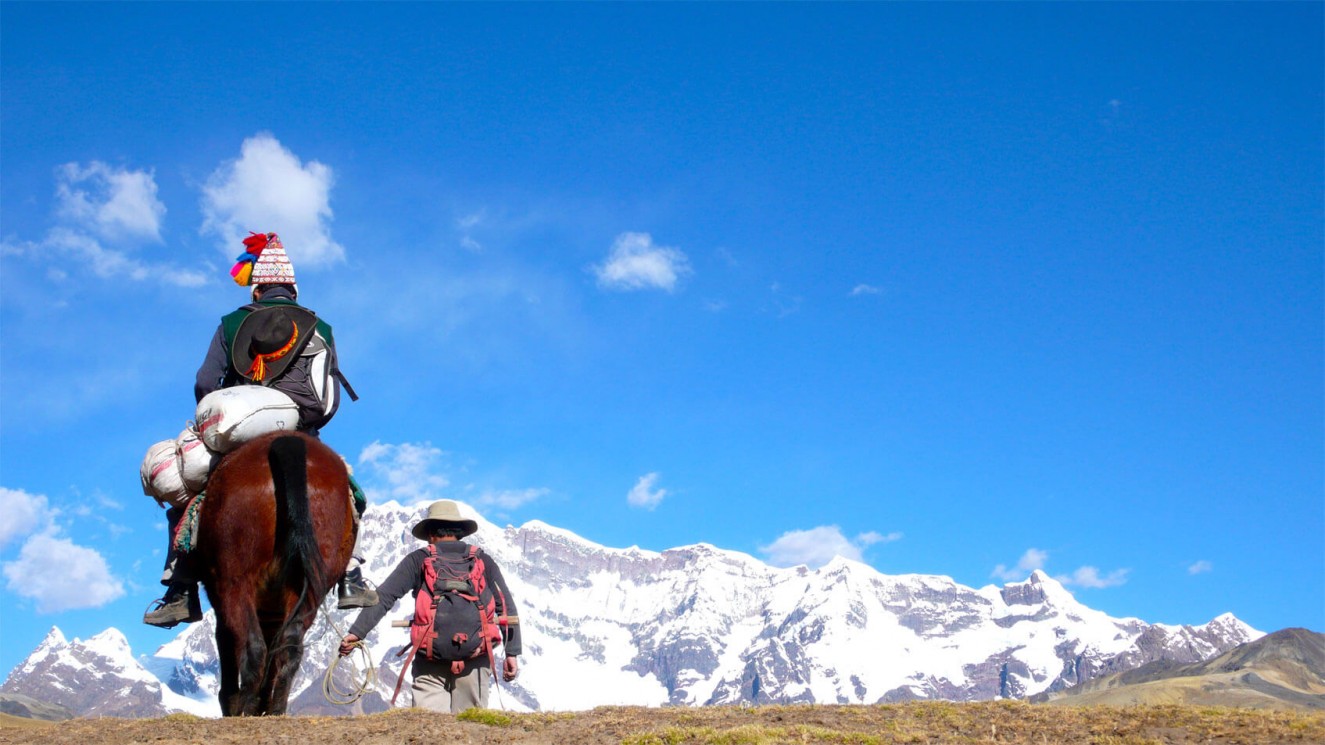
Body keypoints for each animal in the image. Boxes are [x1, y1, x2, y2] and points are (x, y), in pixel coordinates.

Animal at [193, 429, 355, 715]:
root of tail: (287, 442)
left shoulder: (220, 594)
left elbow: (225, 641)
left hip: (234, 580)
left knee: (253, 648)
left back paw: (245, 712)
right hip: (310, 583)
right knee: (288, 646)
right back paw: (275, 709)